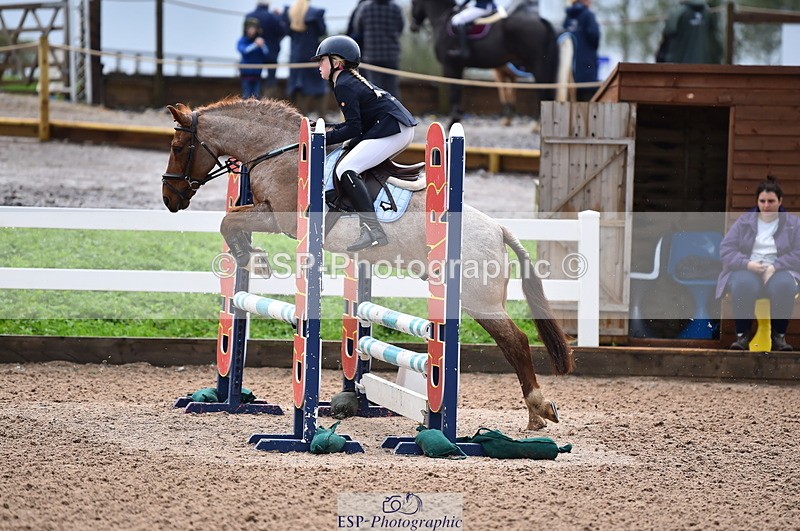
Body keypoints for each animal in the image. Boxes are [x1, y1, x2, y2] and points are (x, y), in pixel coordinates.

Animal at [161, 97, 574, 431]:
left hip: (479, 299)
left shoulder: (281, 219)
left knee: (515, 341)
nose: (169, 198)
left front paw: (255, 259)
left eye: (178, 146)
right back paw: (534, 415)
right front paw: (251, 255)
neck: (278, 151)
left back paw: (539, 409)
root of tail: (499, 229)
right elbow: (232, 219)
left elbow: (228, 221)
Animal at [411, 0, 559, 125]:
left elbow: (454, 92)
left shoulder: (450, 66)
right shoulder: (459, 67)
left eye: (413, 2)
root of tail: (540, 20)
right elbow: (458, 91)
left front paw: (454, 120)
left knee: (543, 90)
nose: (413, 27)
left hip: (537, 65)